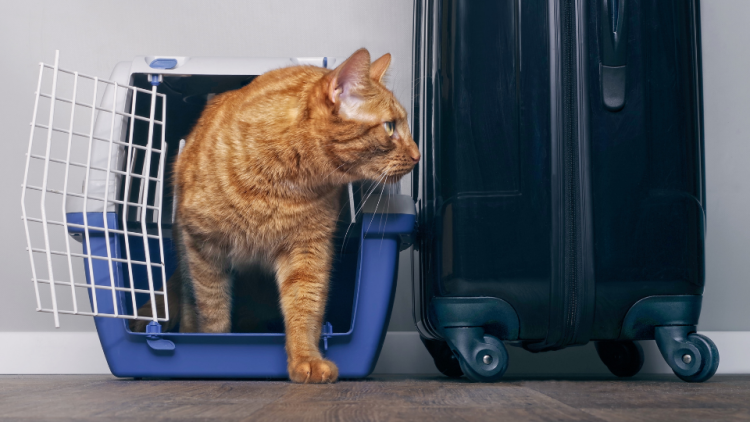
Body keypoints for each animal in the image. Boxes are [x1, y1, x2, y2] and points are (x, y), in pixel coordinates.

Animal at [131, 48, 420, 382]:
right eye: (390, 127)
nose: (418, 155)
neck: (283, 180)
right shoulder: (202, 248)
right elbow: (212, 311)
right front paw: (215, 348)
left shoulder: (307, 251)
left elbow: (304, 308)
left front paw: (306, 359)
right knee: (188, 298)